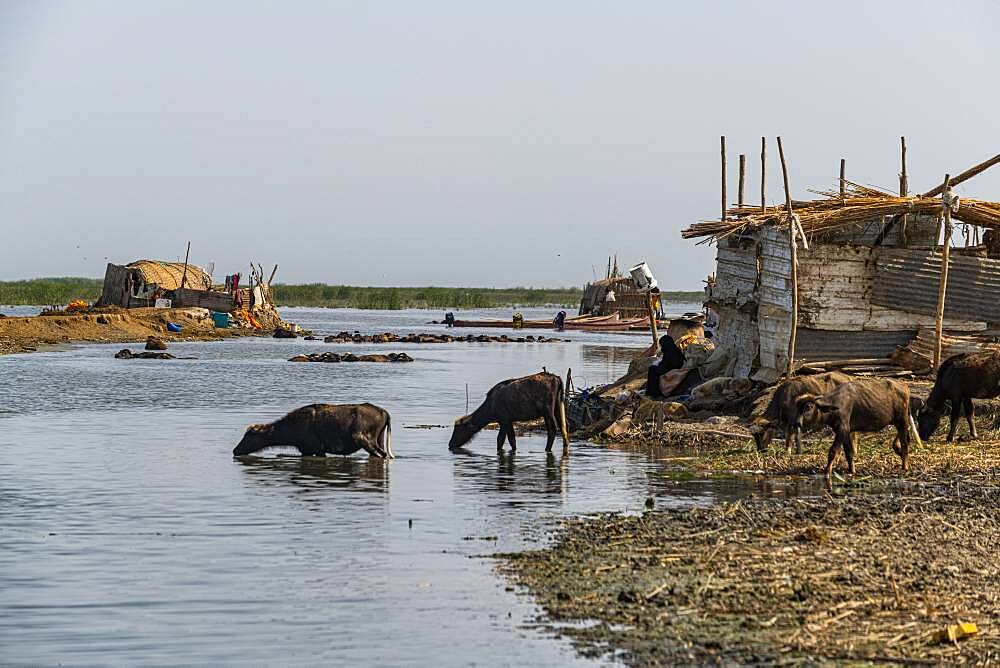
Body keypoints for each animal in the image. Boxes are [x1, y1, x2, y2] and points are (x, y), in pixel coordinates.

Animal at [232, 402, 392, 460]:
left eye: (249, 435)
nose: (235, 450)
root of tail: (385, 412)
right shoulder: (307, 450)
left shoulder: (317, 449)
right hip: (379, 439)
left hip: (365, 440)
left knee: (383, 455)